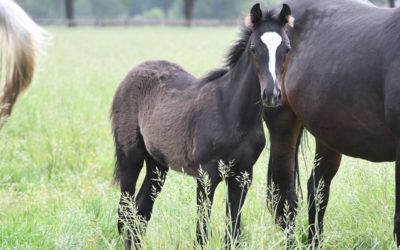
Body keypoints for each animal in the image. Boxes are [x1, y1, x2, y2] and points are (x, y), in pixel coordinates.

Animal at [111, 3, 294, 248]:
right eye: (254, 48)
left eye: (287, 49)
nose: (272, 95)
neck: (233, 113)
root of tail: (133, 72)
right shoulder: (206, 175)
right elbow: (202, 233)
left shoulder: (243, 175)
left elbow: (233, 231)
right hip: (130, 157)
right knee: (125, 211)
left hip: (157, 163)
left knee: (141, 210)